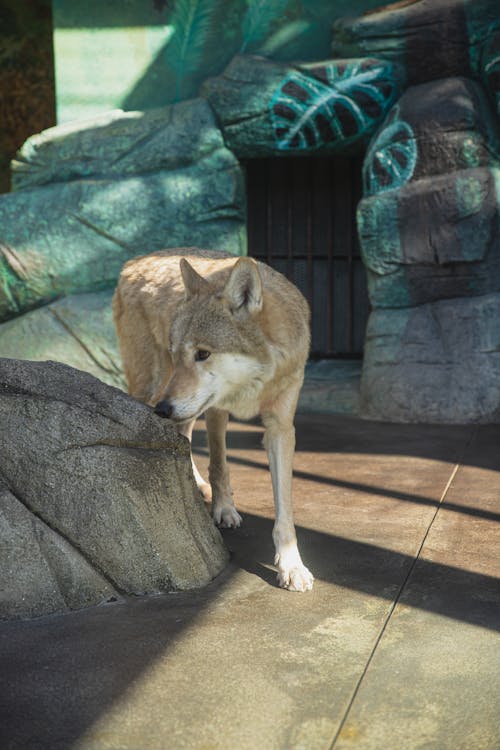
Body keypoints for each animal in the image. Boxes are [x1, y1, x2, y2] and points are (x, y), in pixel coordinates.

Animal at [114, 251, 312, 592]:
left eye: (203, 353)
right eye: (177, 352)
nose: (163, 410)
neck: (253, 383)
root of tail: (135, 261)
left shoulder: (280, 427)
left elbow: (284, 505)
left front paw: (291, 565)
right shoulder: (218, 409)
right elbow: (220, 465)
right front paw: (224, 510)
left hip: (184, 404)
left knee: (181, 434)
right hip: (155, 389)